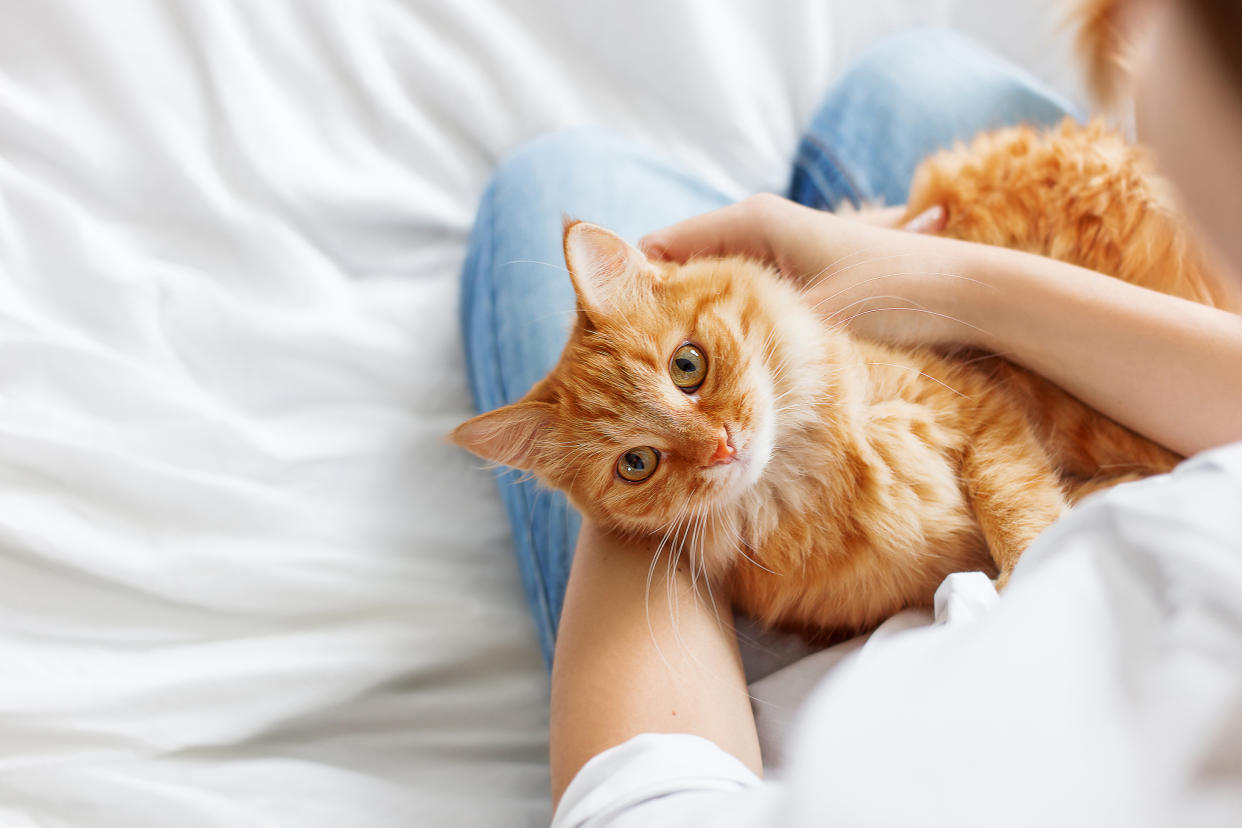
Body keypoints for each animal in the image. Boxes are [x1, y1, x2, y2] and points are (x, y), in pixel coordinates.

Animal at [449, 119, 1222, 640]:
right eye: (636, 464)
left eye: (687, 366)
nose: (723, 445)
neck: (811, 472)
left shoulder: (984, 400)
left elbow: (1015, 497)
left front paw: (1033, 564)